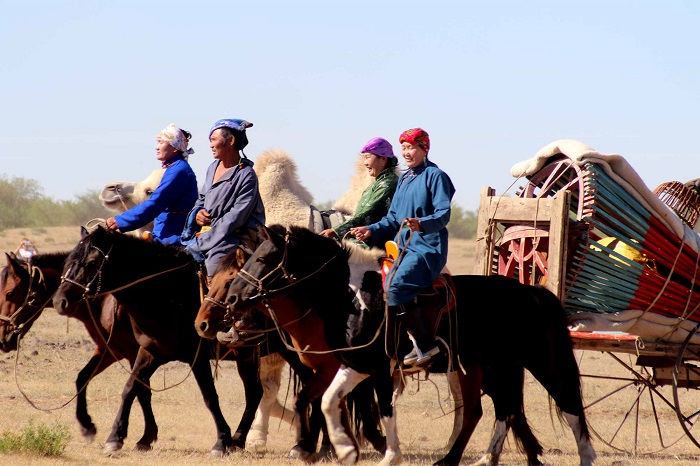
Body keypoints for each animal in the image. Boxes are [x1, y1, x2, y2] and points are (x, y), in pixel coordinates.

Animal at [52, 228, 264, 456]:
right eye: (68, 261)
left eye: (91, 262)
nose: (60, 301)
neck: (167, 296)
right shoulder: (144, 352)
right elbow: (129, 388)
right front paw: (113, 435)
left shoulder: (195, 357)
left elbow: (209, 396)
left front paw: (221, 441)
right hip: (248, 357)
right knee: (255, 393)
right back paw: (240, 440)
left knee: (254, 393)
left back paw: (240, 440)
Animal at [226, 224, 596, 464]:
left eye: (263, 259)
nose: (232, 299)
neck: (353, 295)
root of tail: (531, 292)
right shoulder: (356, 364)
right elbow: (328, 400)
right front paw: (342, 449)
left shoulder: (377, 368)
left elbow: (383, 409)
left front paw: (387, 454)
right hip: (489, 367)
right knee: (492, 410)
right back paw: (467, 459)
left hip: (538, 360)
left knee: (566, 402)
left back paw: (586, 456)